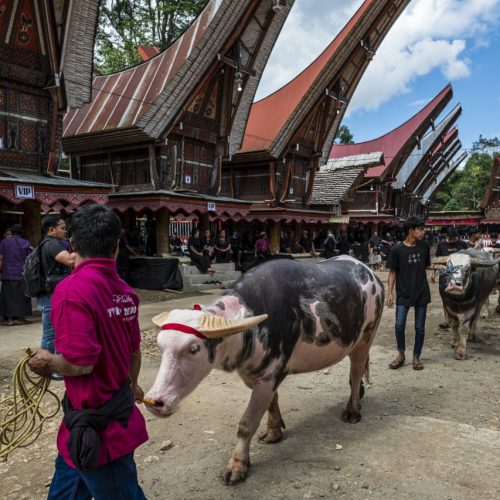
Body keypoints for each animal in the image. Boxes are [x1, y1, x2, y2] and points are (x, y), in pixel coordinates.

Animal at [146, 256, 384, 482]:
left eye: (194, 348)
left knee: (356, 373)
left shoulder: (268, 376)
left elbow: (246, 424)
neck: (249, 331)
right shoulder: (258, 376)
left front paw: (237, 466)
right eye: (160, 344)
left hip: (366, 338)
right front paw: (273, 432)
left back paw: (353, 410)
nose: (153, 401)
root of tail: (371, 274)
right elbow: (272, 403)